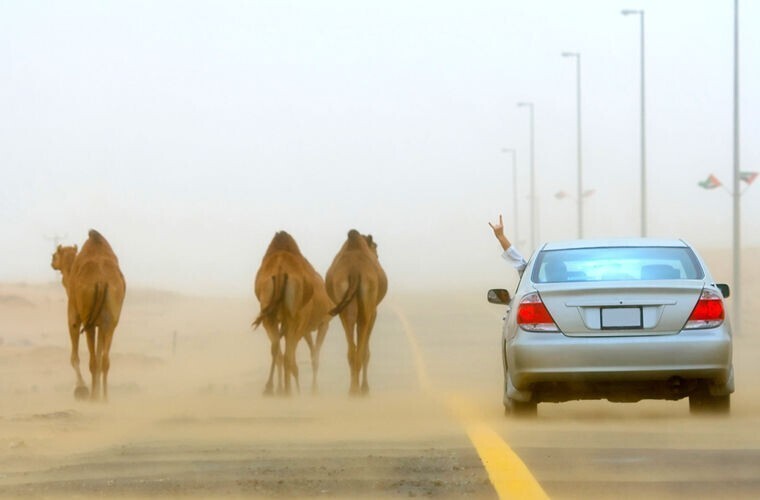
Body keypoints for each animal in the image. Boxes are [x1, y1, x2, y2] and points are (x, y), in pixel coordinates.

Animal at [50, 230, 125, 402]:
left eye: (54, 255)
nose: (52, 263)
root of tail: (102, 281)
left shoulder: (73, 314)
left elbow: (74, 357)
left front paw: (80, 389)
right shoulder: (100, 324)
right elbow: (99, 353)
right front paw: (94, 392)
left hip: (87, 318)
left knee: (93, 361)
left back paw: (92, 398)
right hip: (111, 319)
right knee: (104, 360)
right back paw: (104, 398)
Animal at [252, 232, 332, 396]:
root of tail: (280, 270)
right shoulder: (322, 323)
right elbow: (314, 357)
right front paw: (313, 390)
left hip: (269, 314)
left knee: (277, 350)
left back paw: (272, 388)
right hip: (295, 318)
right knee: (288, 356)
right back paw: (288, 391)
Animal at [326, 229, 386, 396]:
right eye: (375, 248)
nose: (377, 256)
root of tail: (354, 271)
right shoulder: (374, 313)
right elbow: (366, 349)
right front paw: (365, 388)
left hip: (344, 305)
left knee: (351, 349)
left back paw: (352, 390)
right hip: (367, 303)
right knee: (361, 350)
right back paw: (359, 390)